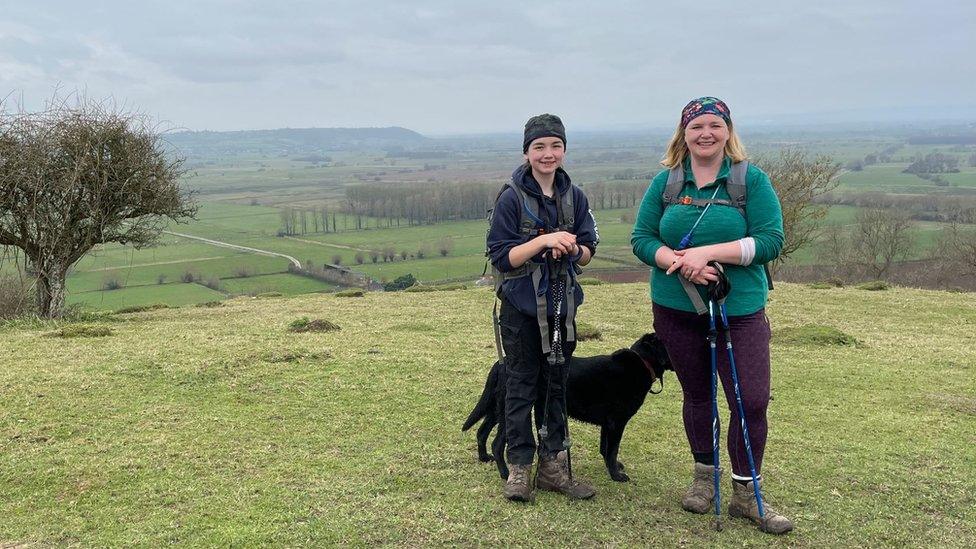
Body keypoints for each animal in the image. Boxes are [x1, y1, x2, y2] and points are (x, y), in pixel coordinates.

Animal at [466, 332, 672, 482]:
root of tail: (500, 364)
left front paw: (612, 467)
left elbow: (605, 449)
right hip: (510, 410)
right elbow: (612, 450)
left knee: (482, 431)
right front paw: (616, 475)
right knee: (497, 443)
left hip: (496, 409)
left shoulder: (607, 424)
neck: (643, 362)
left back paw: (484, 457)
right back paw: (506, 474)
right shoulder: (616, 422)